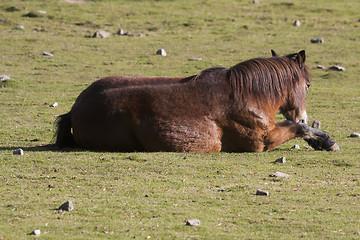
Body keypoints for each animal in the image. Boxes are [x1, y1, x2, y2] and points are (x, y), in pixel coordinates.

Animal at [53, 49, 338, 153]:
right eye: (308, 85)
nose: (302, 113)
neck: (248, 95)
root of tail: (75, 110)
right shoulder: (262, 141)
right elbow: (297, 128)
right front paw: (325, 141)